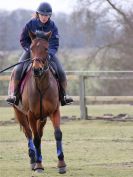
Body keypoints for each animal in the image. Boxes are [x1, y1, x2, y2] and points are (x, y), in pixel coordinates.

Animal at [11, 31, 66, 174]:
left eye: (46, 48)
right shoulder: (30, 115)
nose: (37, 69)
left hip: (42, 118)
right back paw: (33, 161)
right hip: (21, 114)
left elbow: (57, 134)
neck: (41, 85)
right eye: (31, 48)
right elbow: (35, 139)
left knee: (39, 134)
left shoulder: (54, 111)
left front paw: (62, 164)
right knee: (29, 134)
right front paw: (39, 165)